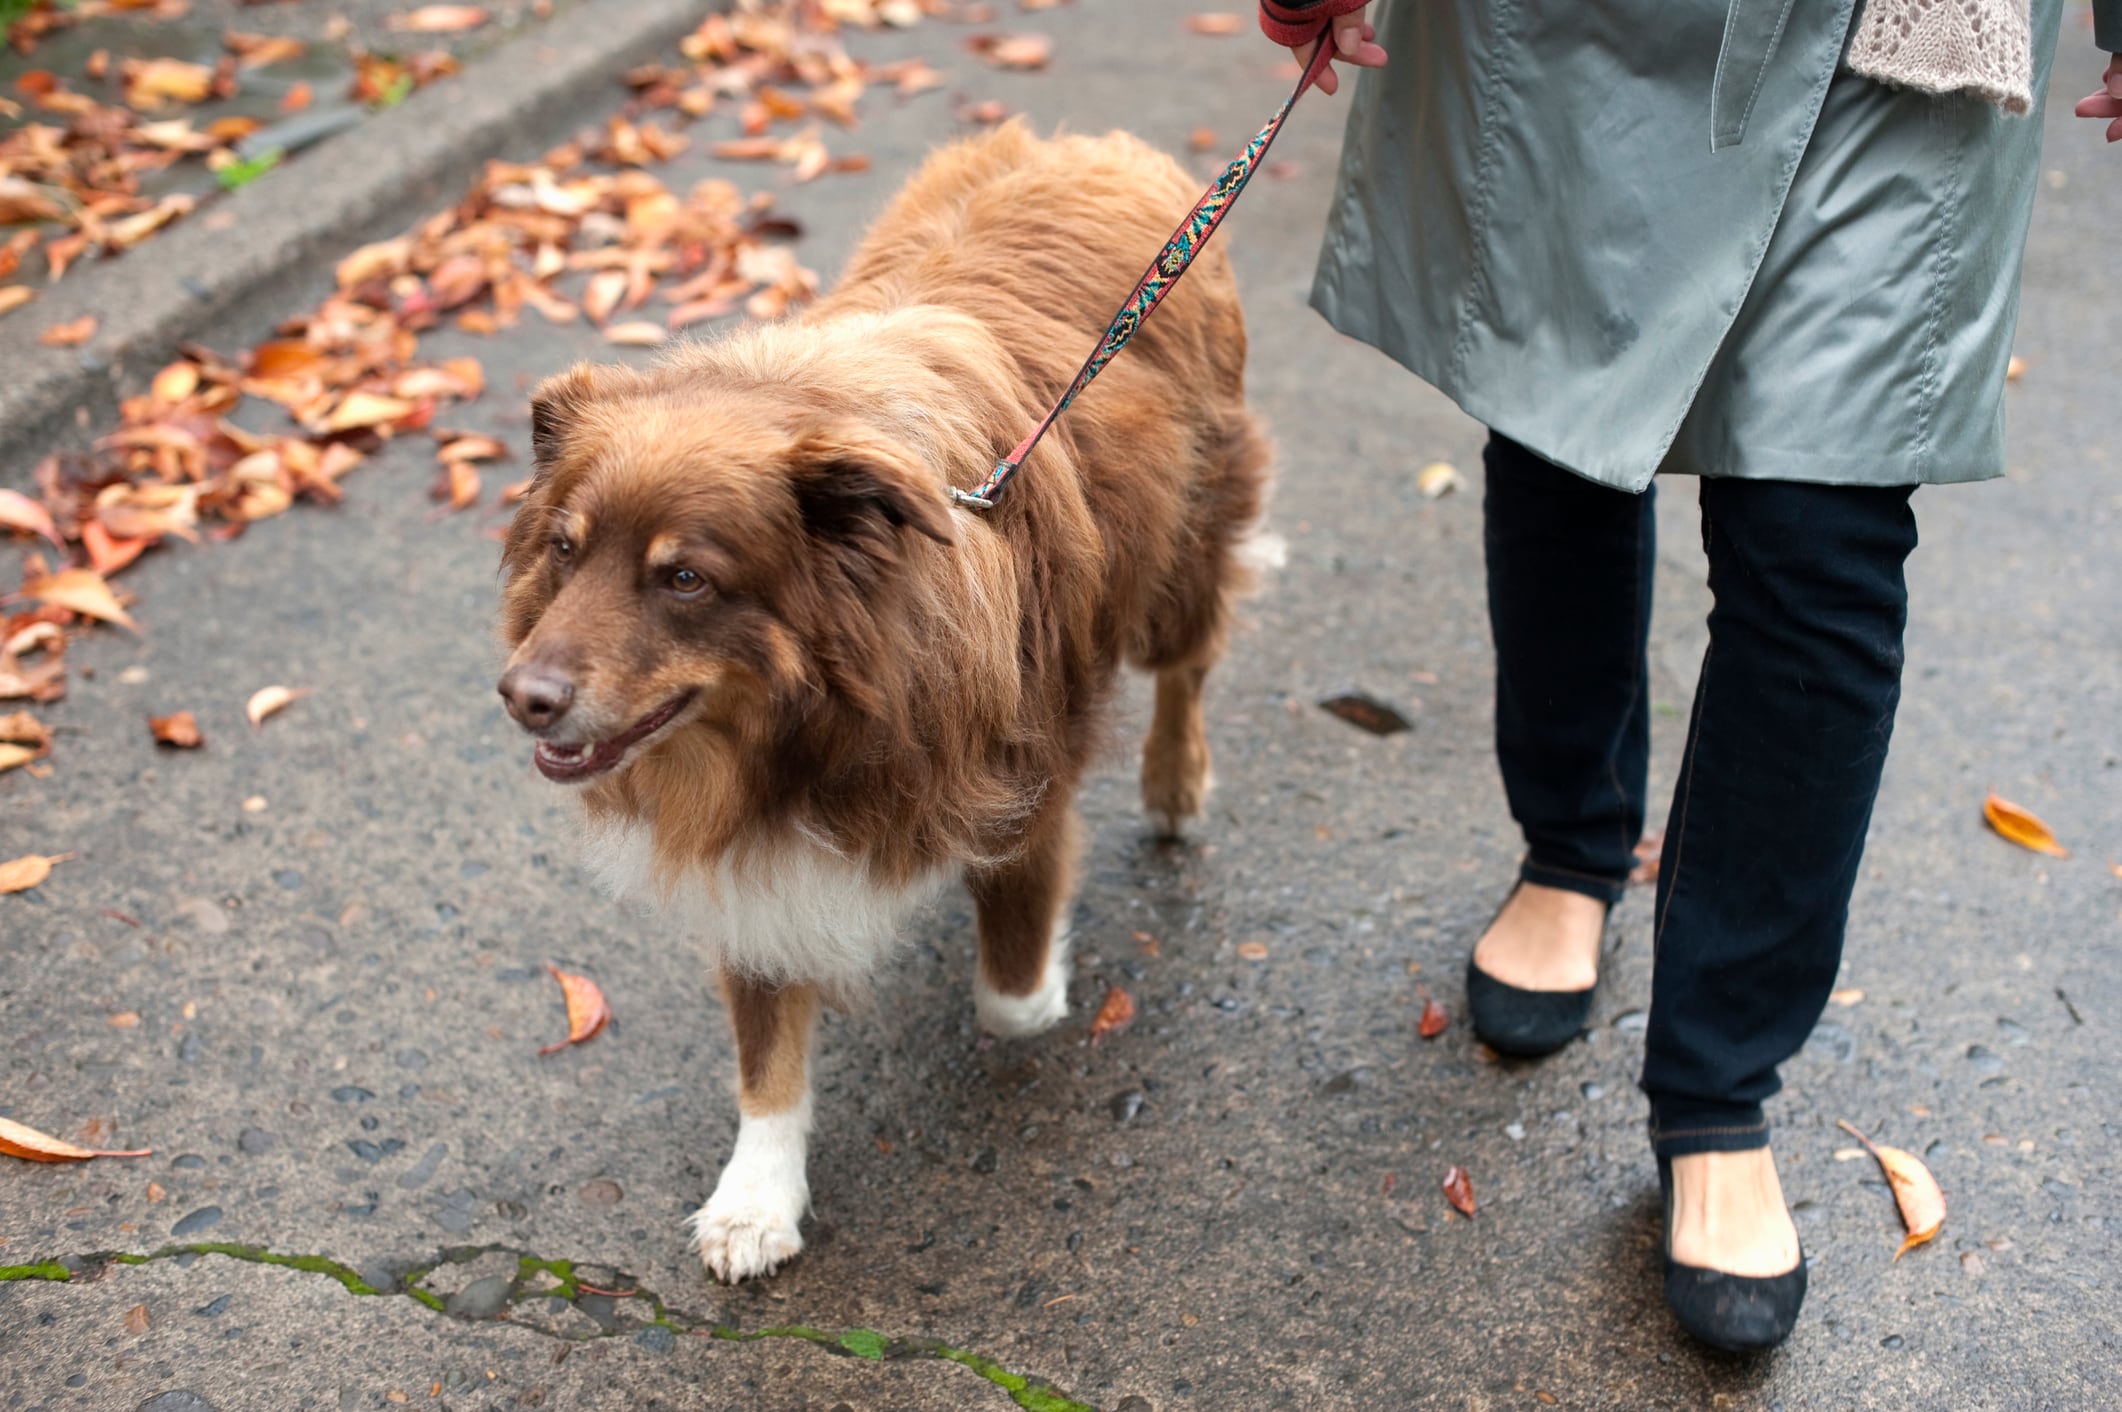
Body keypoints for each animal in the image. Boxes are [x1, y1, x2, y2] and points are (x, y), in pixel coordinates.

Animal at [496, 126, 1273, 1282]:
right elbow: (765, 1047)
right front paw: (756, 1196)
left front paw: (1040, 978)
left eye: (685, 578)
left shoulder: (1023, 780)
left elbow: (1010, 997)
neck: (808, 722)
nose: (520, 698)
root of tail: (1093, 146)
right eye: (563, 547)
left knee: (1188, 665)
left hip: (1186, 545)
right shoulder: (752, 849)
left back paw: (1176, 785)